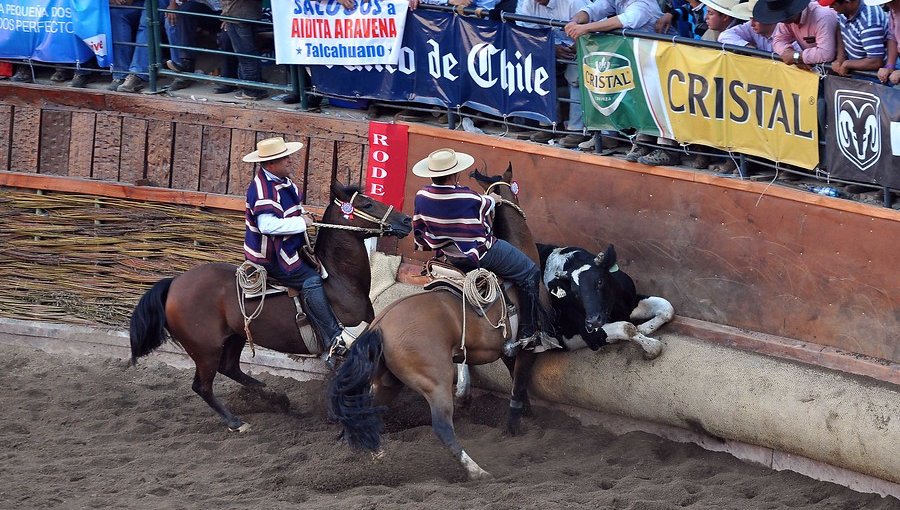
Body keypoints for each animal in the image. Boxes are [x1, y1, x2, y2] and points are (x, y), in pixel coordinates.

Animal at [129, 181, 412, 432]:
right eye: (368, 203)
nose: (407, 221)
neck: (339, 281)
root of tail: (174, 283)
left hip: (235, 337)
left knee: (230, 368)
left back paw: (272, 397)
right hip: (205, 349)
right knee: (202, 386)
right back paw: (236, 422)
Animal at [326, 165, 548, 480]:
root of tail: (380, 325)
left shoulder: (507, 348)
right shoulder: (527, 347)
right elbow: (518, 386)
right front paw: (515, 427)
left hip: (386, 382)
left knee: (364, 417)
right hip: (435, 382)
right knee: (443, 427)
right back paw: (477, 471)